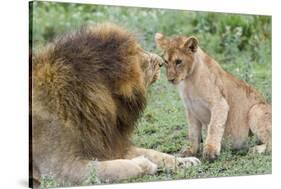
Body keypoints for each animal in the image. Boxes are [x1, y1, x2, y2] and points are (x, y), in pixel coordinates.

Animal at [30, 23, 199, 188]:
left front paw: (184, 161)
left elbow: (153, 152)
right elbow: (118, 167)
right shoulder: (59, 168)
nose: (161, 62)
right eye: (139, 55)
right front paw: (145, 165)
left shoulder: (107, 143)